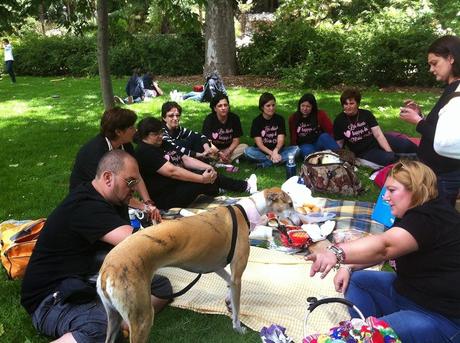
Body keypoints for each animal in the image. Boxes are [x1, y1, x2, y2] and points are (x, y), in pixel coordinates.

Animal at [96, 188, 294, 343]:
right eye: (290, 204)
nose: (298, 222)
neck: (243, 210)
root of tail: (107, 270)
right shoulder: (237, 273)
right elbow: (237, 305)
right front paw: (238, 327)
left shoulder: (215, 265)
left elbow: (229, 281)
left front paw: (228, 299)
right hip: (142, 318)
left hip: (113, 317)